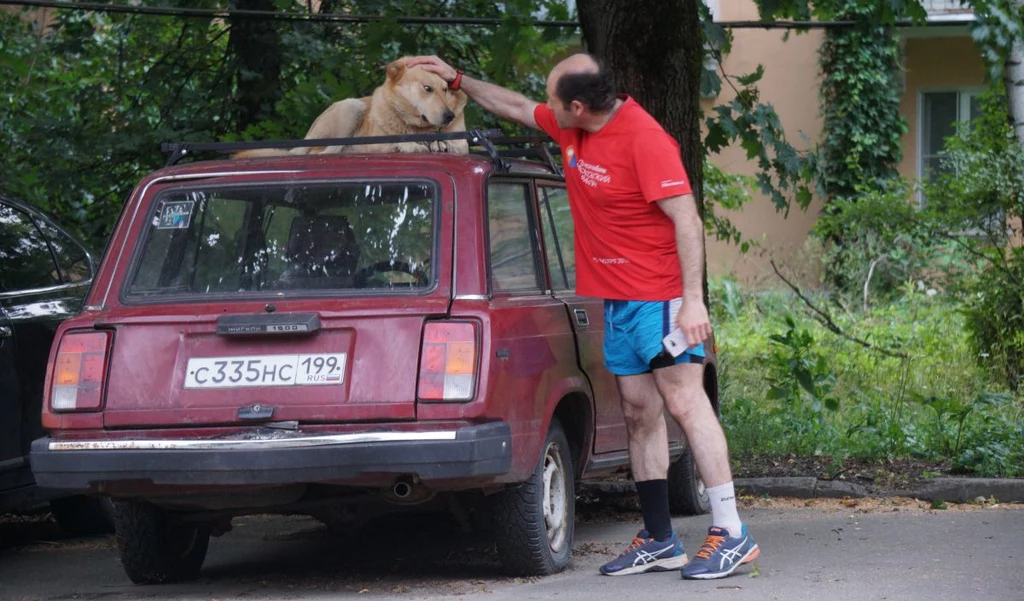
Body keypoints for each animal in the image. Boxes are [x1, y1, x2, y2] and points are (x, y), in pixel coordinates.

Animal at [234, 57, 468, 157]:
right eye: (427, 88)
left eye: (445, 89)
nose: (449, 116)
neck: (418, 127)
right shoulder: (375, 142)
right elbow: (394, 142)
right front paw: (412, 145)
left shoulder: (462, 142)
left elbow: (455, 144)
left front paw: (439, 142)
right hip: (350, 107)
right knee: (324, 152)